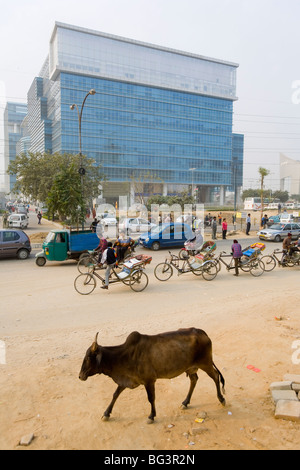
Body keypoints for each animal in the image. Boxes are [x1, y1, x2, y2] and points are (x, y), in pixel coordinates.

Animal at [79, 326, 225, 422]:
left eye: (88, 358)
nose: (80, 376)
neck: (123, 356)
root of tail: (200, 331)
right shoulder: (126, 380)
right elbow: (115, 395)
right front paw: (106, 413)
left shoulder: (149, 381)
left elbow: (151, 398)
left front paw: (151, 416)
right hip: (190, 368)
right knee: (194, 380)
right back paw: (185, 402)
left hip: (206, 363)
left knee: (215, 376)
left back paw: (222, 399)